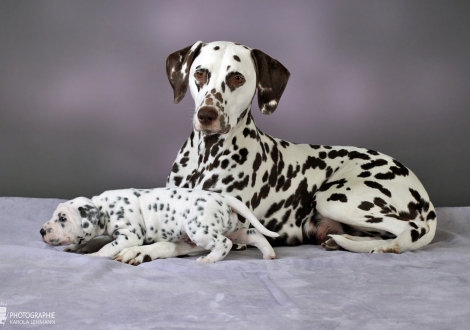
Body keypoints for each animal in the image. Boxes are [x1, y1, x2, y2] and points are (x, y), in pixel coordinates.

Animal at [40, 187, 280, 264]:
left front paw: (93, 255)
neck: (104, 208)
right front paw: (80, 247)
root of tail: (223, 198)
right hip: (232, 228)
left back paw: (209, 259)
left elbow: (107, 247)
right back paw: (268, 253)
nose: (42, 231)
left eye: (62, 218)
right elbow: (98, 240)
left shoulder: (130, 236)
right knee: (253, 234)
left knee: (224, 244)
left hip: (200, 231)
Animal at [114, 40, 436, 264]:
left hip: (336, 199)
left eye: (237, 78)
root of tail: (422, 192)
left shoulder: (229, 231)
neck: (206, 157)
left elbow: (178, 242)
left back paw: (387, 246)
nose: (207, 115)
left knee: (410, 229)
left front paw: (141, 250)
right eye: (200, 73)